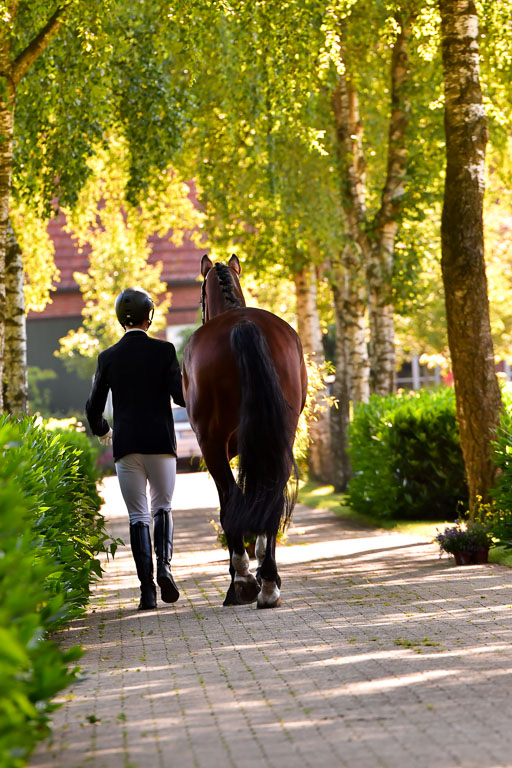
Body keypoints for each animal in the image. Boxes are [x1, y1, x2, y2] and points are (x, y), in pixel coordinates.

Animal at [182, 254, 308, 609]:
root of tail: (243, 324)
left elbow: (229, 506)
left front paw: (241, 578)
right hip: (279, 435)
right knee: (271, 498)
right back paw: (269, 584)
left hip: (211, 444)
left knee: (232, 503)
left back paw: (244, 581)